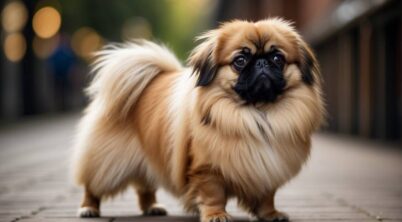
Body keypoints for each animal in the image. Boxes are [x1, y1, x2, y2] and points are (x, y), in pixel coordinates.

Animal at [71, 17, 324, 222]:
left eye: (277, 58)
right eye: (240, 60)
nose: (262, 63)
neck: (257, 114)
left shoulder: (269, 169)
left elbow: (266, 197)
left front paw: (270, 214)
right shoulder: (207, 170)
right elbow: (214, 195)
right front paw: (216, 215)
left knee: (145, 187)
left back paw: (152, 207)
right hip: (109, 162)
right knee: (93, 186)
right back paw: (88, 209)